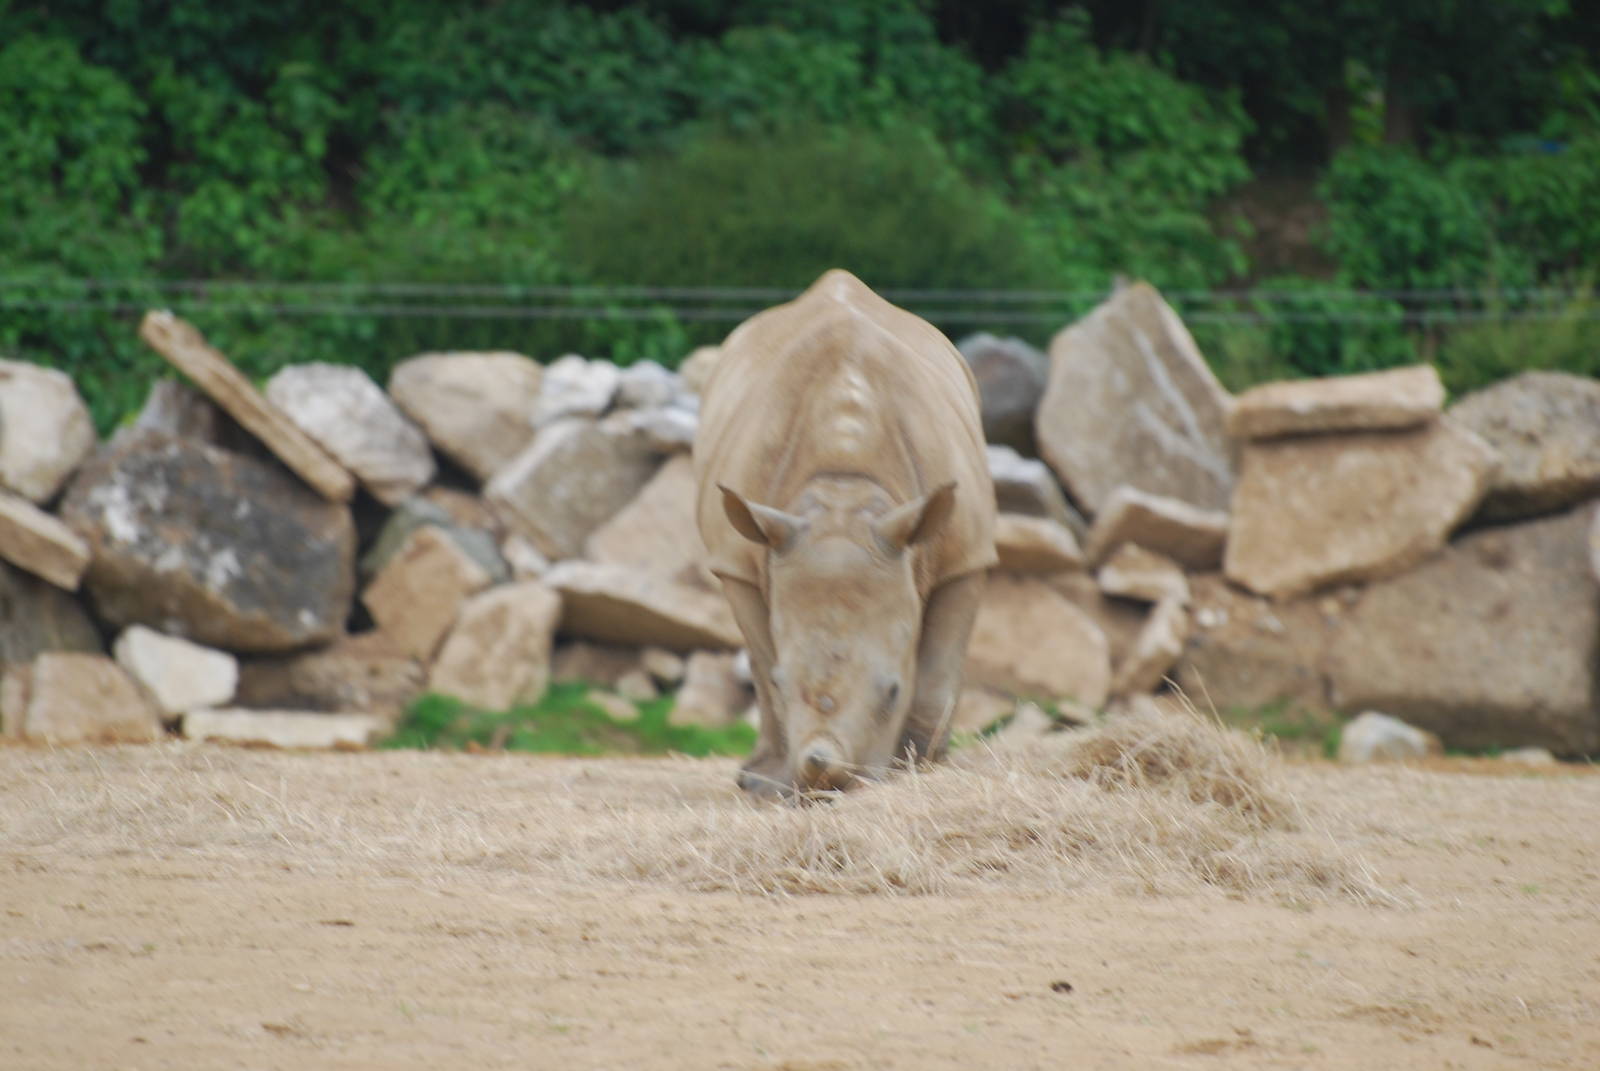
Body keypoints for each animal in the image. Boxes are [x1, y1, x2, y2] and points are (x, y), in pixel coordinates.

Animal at [694, 270, 997, 798]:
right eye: (783, 682)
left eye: (893, 690)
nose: (827, 779)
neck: (844, 489)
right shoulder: (738, 556)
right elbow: (764, 662)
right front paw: (776, 786)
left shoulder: (967, 555)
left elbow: (937, 676)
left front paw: (919, 768)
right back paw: (755, 779)